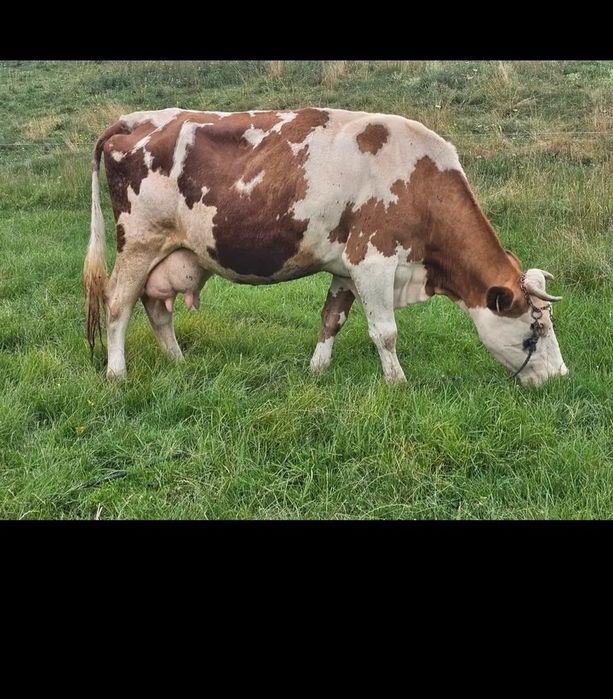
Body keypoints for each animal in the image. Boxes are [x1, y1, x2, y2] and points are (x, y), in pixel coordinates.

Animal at [83, 107, 567, 386]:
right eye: (532, 335)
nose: (560, 376)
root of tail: (135, 119)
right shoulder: (372, 259)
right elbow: (385, 331)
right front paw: (398, 384)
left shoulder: (345, 267)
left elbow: (332, 319)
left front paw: (317, 370)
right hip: (139, 242)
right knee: (118, 303)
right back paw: (117, 373)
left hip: (169, 252)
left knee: (156, 307)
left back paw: (178, 361)